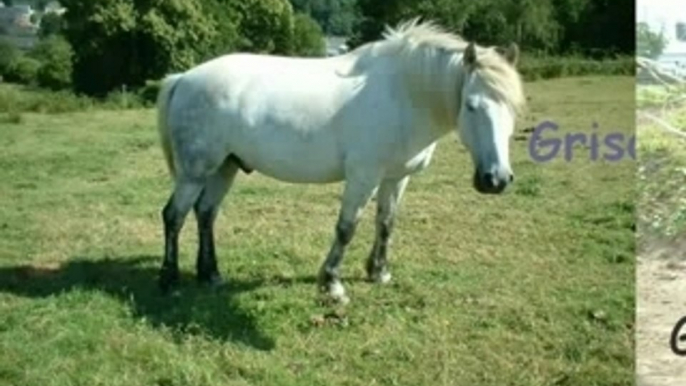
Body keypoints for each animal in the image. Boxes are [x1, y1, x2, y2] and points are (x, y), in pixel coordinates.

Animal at [156, 18, 528, 304]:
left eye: (513, 107)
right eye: (472, 105)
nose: (496, 180)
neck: (403, 93)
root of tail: (183, 79)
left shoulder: (396, 178)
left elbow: (386, 223)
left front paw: (379, 272)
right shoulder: (363, 177)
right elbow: (347, 227)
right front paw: (332, 284)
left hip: (224, 167)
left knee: (205, 214)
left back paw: (210, 275)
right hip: (195, 172)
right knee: (174, 215)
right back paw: (169, 280)